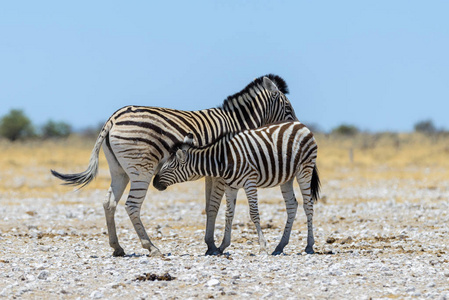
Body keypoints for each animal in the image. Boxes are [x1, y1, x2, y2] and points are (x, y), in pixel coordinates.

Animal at [153, 120, 318, 254]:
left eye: (169, 168)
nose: (154, 183)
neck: (223, 160)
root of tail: (300, 124)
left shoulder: (249, 182)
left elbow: (254, 213)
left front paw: (262, 246)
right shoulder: (231, 186)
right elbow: (228, 214)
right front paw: (222, 246)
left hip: (305, 169)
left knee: (308, 205)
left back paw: (309, 246)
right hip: (287, 178)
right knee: (292, 205)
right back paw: (280, 246)